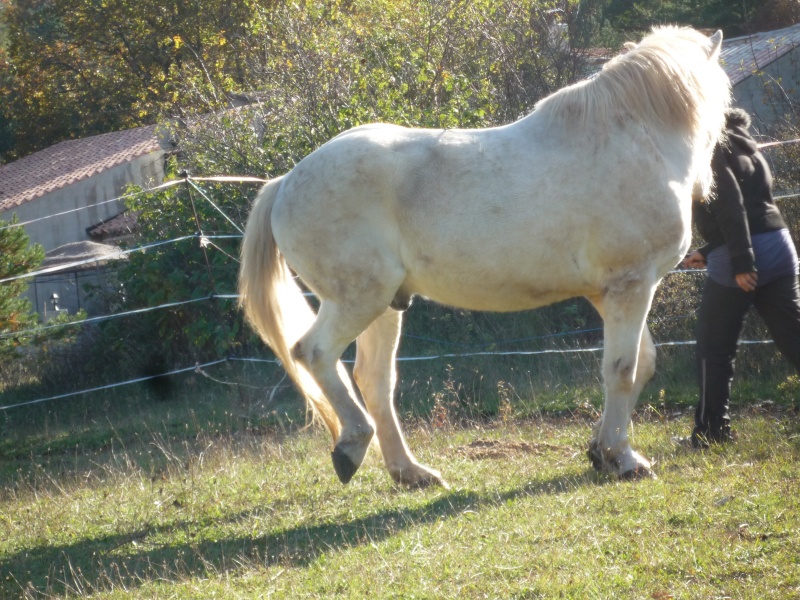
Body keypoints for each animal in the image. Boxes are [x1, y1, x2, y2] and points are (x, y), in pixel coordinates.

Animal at [239, 28, 732, 488]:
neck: (633, 139)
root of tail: (285, 182)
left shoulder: (609, 293)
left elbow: (641, 363)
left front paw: (599, 450)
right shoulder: (631, 285)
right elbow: (622, 370)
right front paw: (622, 458)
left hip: (384, 305)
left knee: (375, 380)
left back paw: (411, 472)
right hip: (358, 300)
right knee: (315, 353)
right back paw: (352, 446)